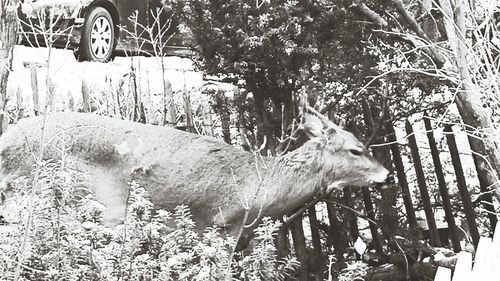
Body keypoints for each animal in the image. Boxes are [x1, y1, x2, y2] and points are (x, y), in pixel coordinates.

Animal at [0, 108, 388, 246]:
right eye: (356, 149)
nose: (385, 175)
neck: (260, 185)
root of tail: (6, 140)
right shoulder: (223, 221)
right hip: (88, 201)